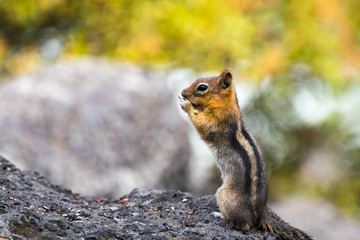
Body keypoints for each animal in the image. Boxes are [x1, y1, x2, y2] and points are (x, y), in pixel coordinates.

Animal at [180, 68, 312, 239]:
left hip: (224, 196)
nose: (182, 92)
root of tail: (261, 214)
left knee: (245, 225)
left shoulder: (217, 120)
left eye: (202, 87)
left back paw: (220, 215)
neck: (226, 104)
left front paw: (186, 105)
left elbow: (202, 123)